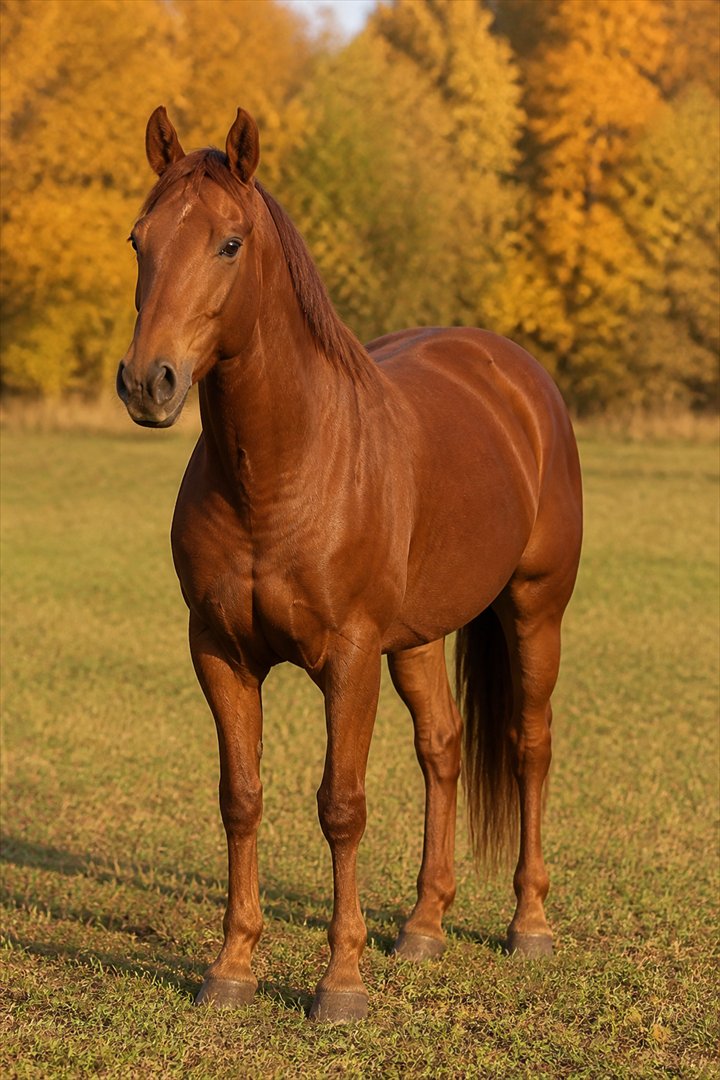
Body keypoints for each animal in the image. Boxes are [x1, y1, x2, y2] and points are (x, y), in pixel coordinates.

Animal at [117, 106, 583, 1023]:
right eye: (138, 240)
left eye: (229, 243)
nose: (149, 382)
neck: (283, 468)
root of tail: (516, 374)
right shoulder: (219, 654)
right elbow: (241, 799)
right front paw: (232, 967)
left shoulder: (350, 659)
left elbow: (341, 805)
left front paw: (340, 982)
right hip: (420, 639)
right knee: (443, 748)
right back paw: (425, 926)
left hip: (534, 611)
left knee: (528, 745)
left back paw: (530, 924)